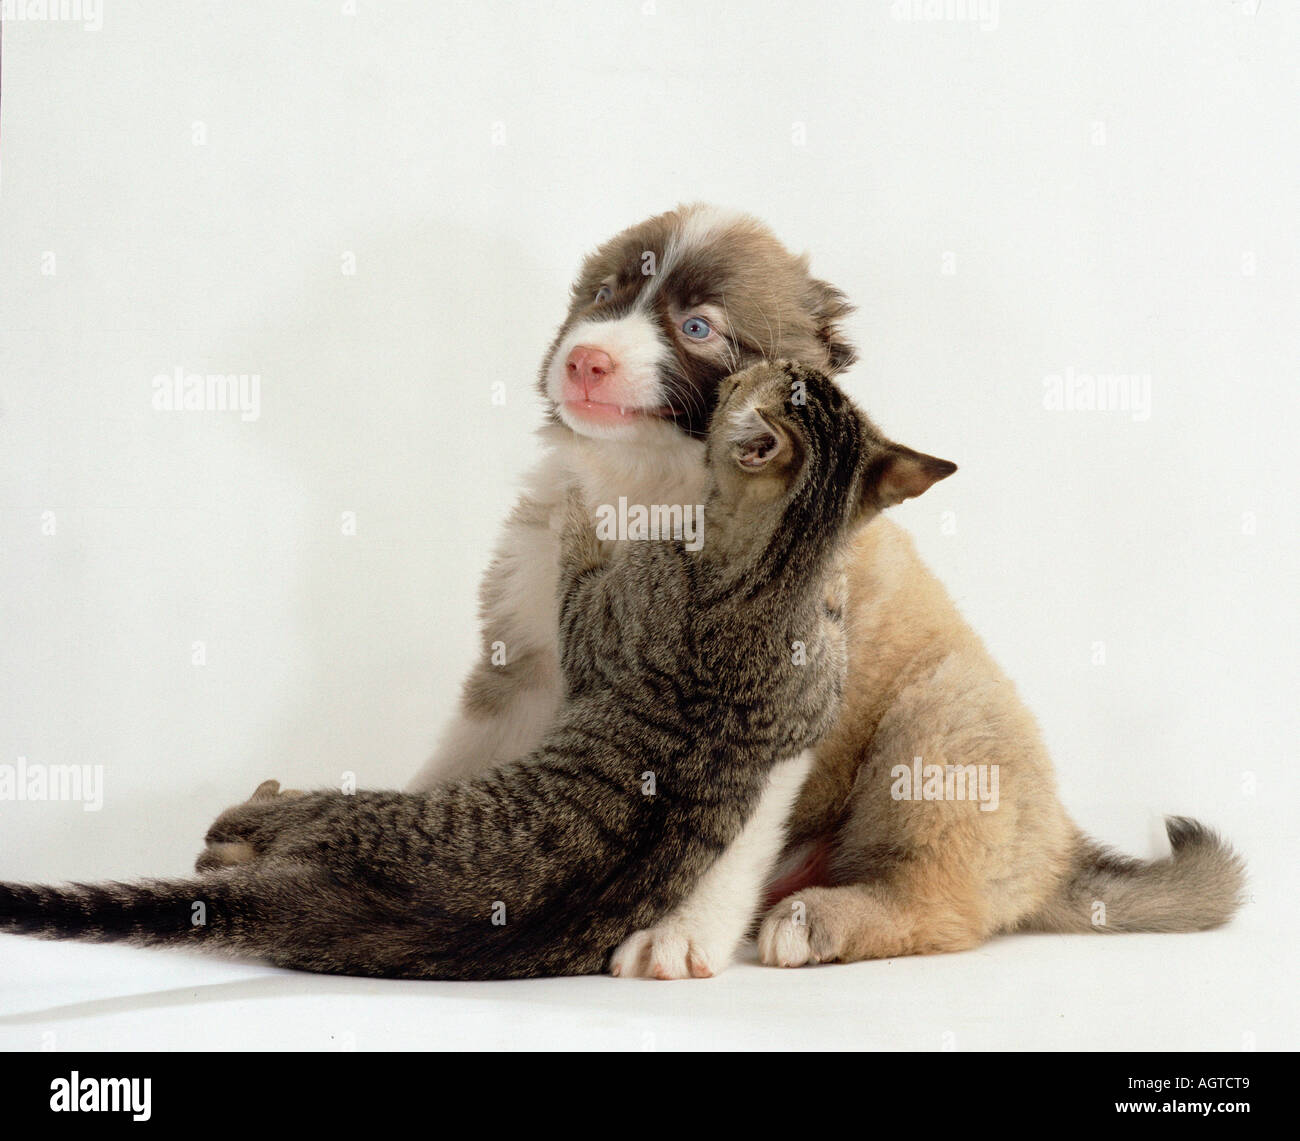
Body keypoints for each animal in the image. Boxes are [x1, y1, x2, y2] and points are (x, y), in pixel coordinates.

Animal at [410, 201, 1242, 977]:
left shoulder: (771, 706)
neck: (641, 484)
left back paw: (819, 920)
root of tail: (1061, 851)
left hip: (941, 727)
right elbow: (461, 752)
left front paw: (680, 933)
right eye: (605, 294)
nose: (586, 360)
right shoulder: (520, 658)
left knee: (941, 906)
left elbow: (730, 839)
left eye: (699, 326)